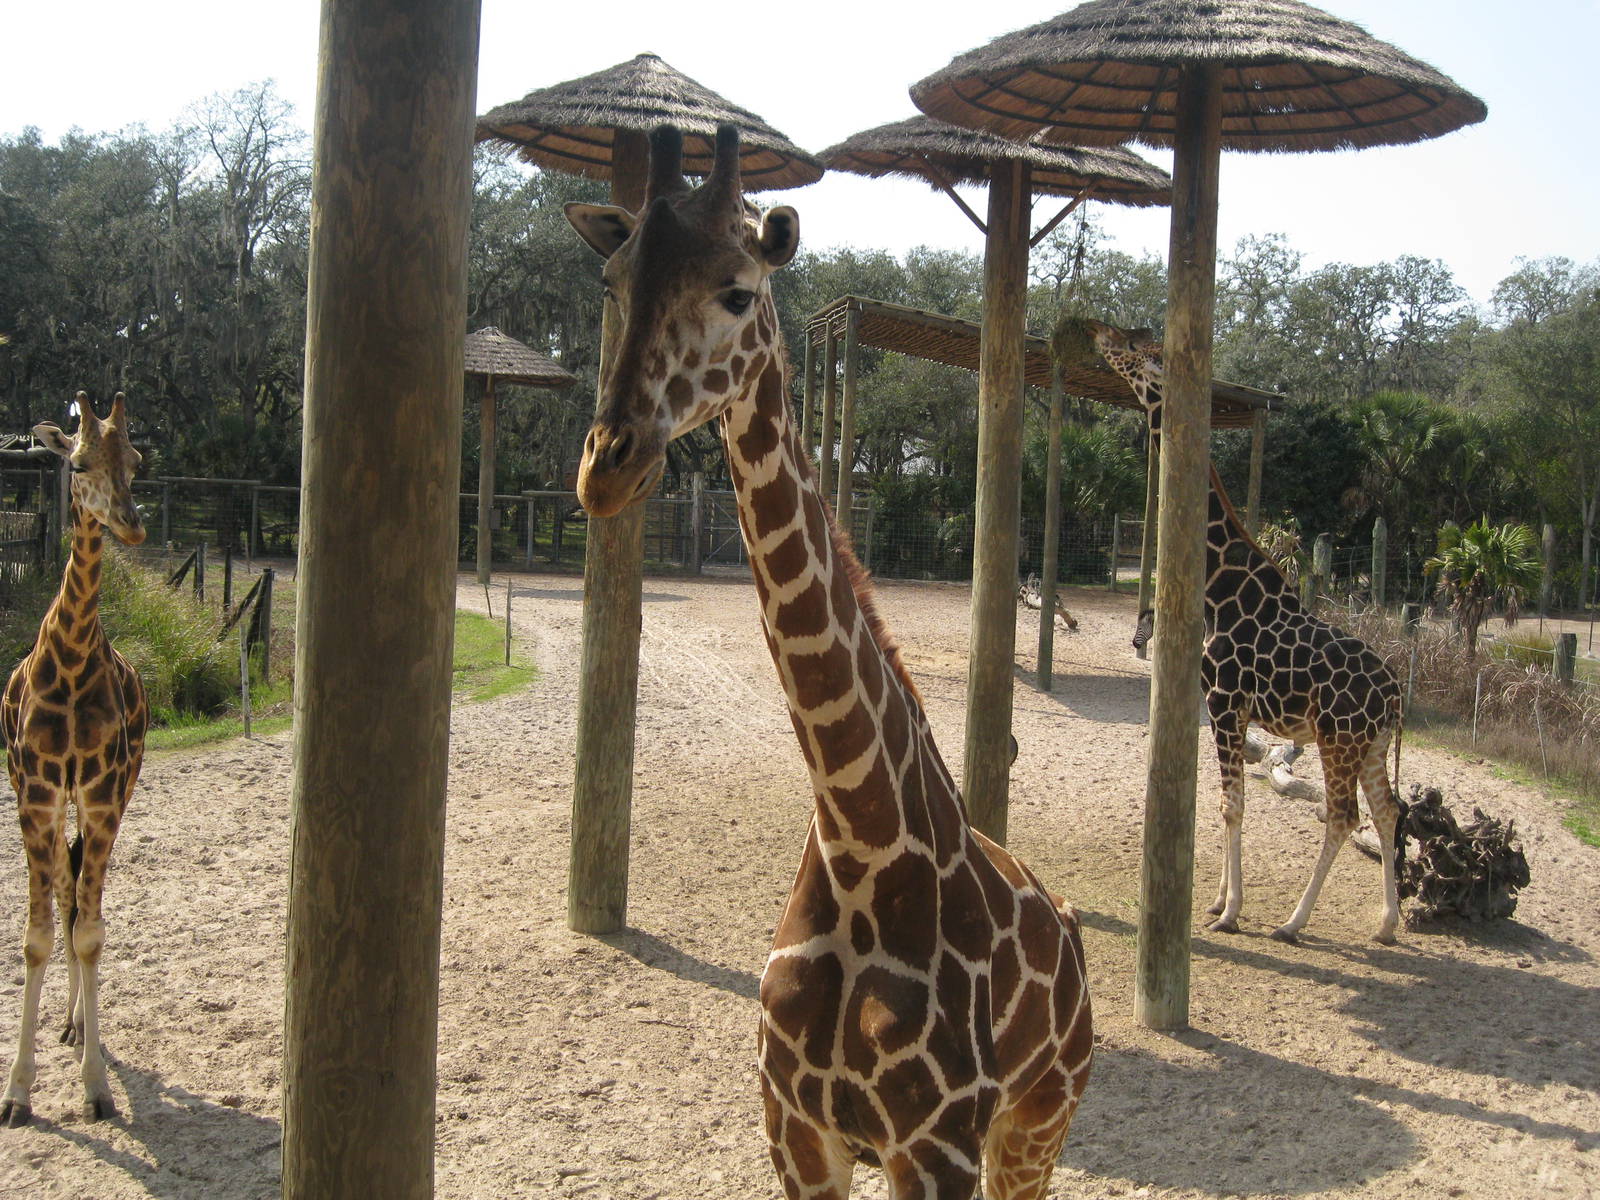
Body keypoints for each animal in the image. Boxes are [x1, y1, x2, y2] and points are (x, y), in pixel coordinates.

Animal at [567, 125, 1092, 1200]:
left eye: (737, 291)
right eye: (611, 278)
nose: (608, 466)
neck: (860, 843)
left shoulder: (935, 1146)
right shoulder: (797, 1127)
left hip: (1038, 1124)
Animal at [1068, 318, 1404, 945]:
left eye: (1133, 346)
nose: (1097, 332)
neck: (1220, 589)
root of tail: (1396, 695)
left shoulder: (1225, 702)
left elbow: (1231, 805)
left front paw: (1230, 912)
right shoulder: (1229, 710)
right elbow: (1226, 800)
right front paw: (1219, 900)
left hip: (1338, 738)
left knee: (1344, 815)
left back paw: (1293, 923)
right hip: (1370, 744)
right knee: (1388, 810)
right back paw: (1387, 924)